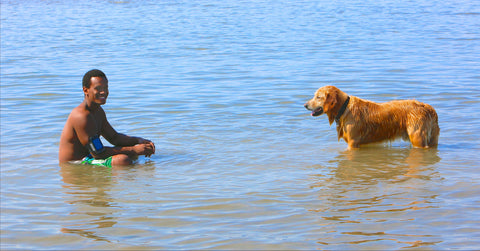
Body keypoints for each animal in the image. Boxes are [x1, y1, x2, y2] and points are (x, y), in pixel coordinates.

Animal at [304, 86, 438, 149]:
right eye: (315, 96)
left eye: (318, 97)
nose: (305, 105)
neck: (344, 108)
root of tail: (428, 107)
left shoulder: (353, 143)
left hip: (417, 138)